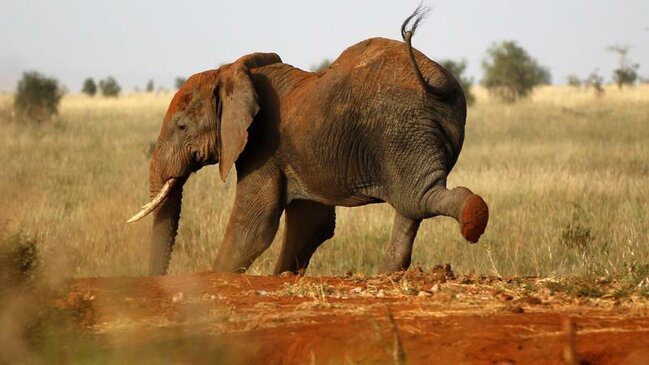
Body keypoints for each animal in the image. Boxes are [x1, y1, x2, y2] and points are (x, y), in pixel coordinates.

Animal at [126, 7, 486, 274]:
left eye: (182, 127)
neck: (230, 71)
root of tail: (435, 80)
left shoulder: (263, 145)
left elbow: (253, 227)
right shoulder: (295, 152)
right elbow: (312, 223)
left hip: (401, 131)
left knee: (416, 198)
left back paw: (473, 219)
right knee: (410, 206)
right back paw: (388, 274)